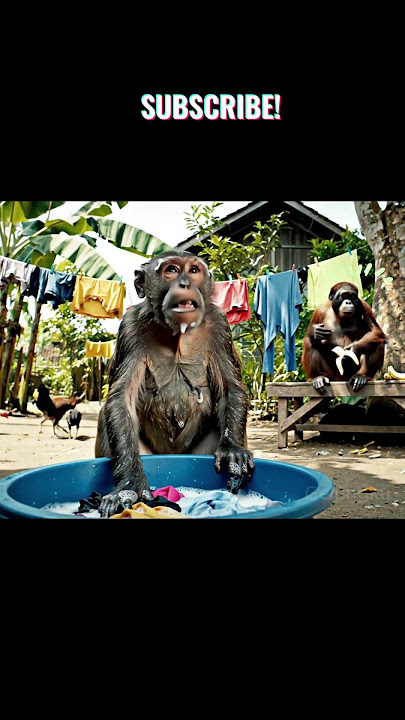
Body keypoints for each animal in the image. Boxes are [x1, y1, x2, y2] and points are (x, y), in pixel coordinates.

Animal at [95, 250, 255, 517]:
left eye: (193, 270)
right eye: (171, 270)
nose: (185, 283)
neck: (177, 334)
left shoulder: (220, 325)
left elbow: (230, 389)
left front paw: (233, 450)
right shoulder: (129, 328)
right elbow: (120, 400)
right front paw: (129, 486)